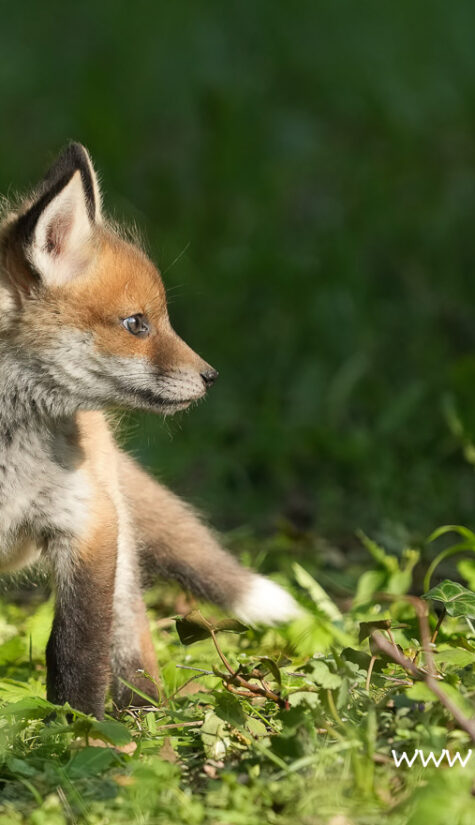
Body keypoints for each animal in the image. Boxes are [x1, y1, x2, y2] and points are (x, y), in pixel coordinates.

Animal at [0, 143, 300, 719]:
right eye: (137, 324)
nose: (211, 376)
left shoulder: (86, 526)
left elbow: (76, 649)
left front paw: (77, 730)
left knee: (130, 631)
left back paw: (143, 713)